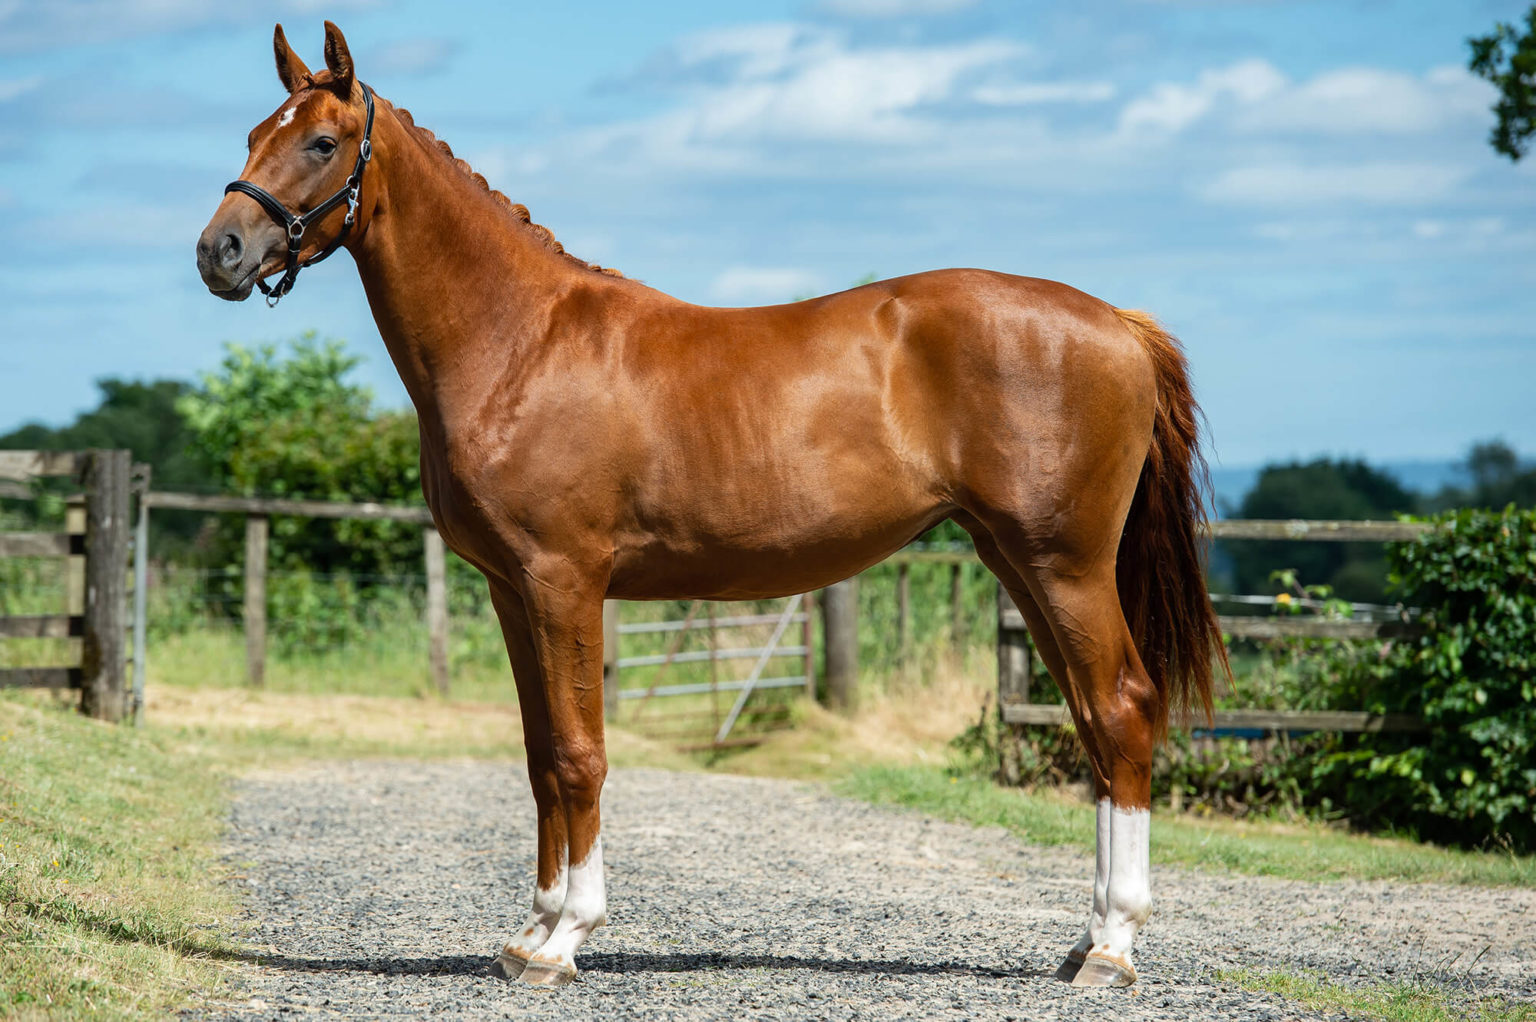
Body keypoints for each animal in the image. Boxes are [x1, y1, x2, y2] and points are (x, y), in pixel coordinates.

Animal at [196, 22, 1228, 991]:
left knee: (1122, 710)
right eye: (251, 133)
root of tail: (1118, 325)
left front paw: (566, 941)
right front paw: (528, 933)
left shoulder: (564, 581)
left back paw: (1114, 949)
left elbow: (579, 754)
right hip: (1018, 561)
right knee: (1092, 720)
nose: (220, 253)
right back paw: (1085, 940)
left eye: (322, 142)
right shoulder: (508, 589)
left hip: (1066, 564)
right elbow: (538, 757)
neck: (520, 343)